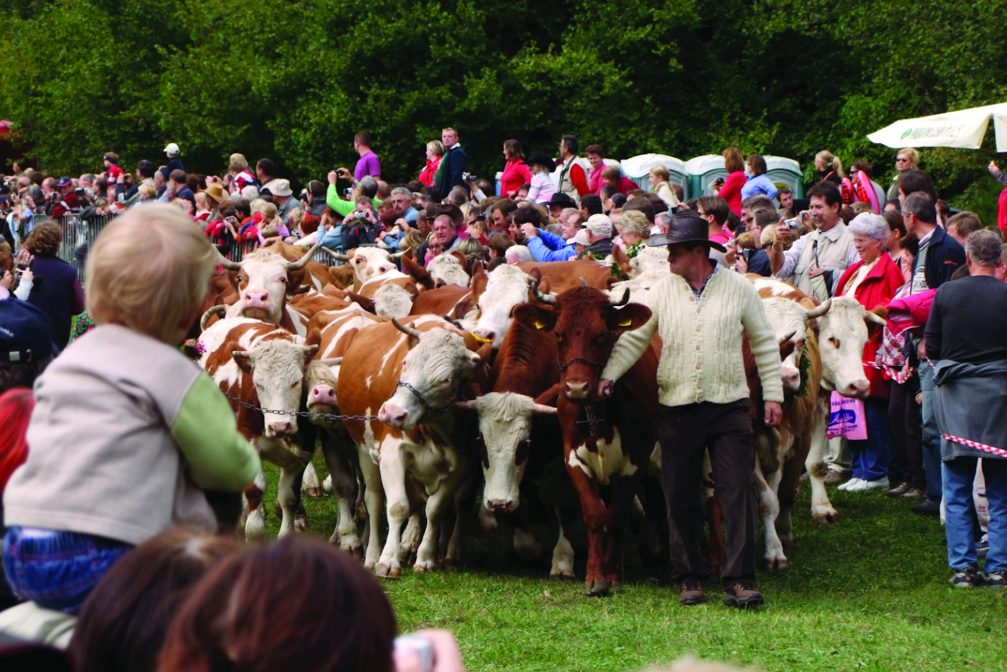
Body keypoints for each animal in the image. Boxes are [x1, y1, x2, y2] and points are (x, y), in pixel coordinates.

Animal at [197, 316, 318, 540]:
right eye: (258, 383)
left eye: (296, 382)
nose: (280, 426)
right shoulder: (248, 441)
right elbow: (254, 496)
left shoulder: (302, 451)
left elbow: (289, 498)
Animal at [336, 318, 485, 576]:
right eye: (405, 362)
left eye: (445, 379)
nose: (392, 413)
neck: (433, 428)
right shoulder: (391, 453)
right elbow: (397, 506)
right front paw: (387, 560)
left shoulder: (461, 464)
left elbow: (435, 510)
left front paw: (425, 557)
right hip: (365, 450)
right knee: (375, 501)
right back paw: (373, 554)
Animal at [515, 286, 656, 596]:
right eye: (558, 334)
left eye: (602, 334)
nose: (577, 387)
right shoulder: (572, 458)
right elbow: (593, 515)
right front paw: (594, 576)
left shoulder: (636, 462)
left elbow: (614, 516)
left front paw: (611, 575)